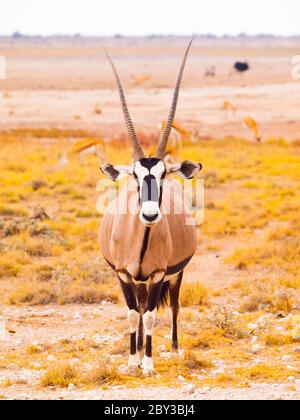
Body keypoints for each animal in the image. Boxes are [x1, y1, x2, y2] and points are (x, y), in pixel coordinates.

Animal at [99, 40, 203, 378]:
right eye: (134, 175)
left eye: (163, 174)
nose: (149, 215)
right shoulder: (123, 273)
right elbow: (134, 314)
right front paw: (132, 361)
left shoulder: (158, 274)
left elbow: (151, 315)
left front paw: (148, 363)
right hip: (139, 280)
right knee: (142, 307)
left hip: (176, 273)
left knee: (173, 306)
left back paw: (173, 350)